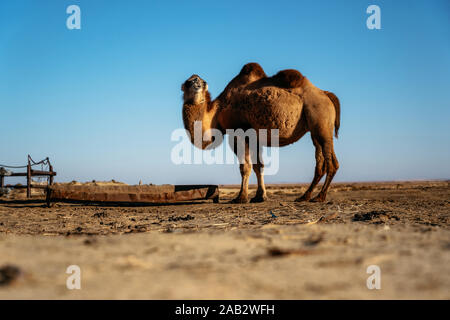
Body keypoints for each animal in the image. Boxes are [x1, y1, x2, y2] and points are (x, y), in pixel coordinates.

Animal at [181, 62, 340, 202]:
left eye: (198, 80)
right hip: (314, 129)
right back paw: (305, 196)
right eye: (190, 81)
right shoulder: (253, 136)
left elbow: (245, 167)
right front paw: (259, 196)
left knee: (332, 163)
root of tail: (326, 94)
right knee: (320, 163)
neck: (218, 111)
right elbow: (259, 166)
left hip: (321, 122)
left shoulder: (238, 131)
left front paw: (241, 198)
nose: (199, 84)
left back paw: (320, 197)